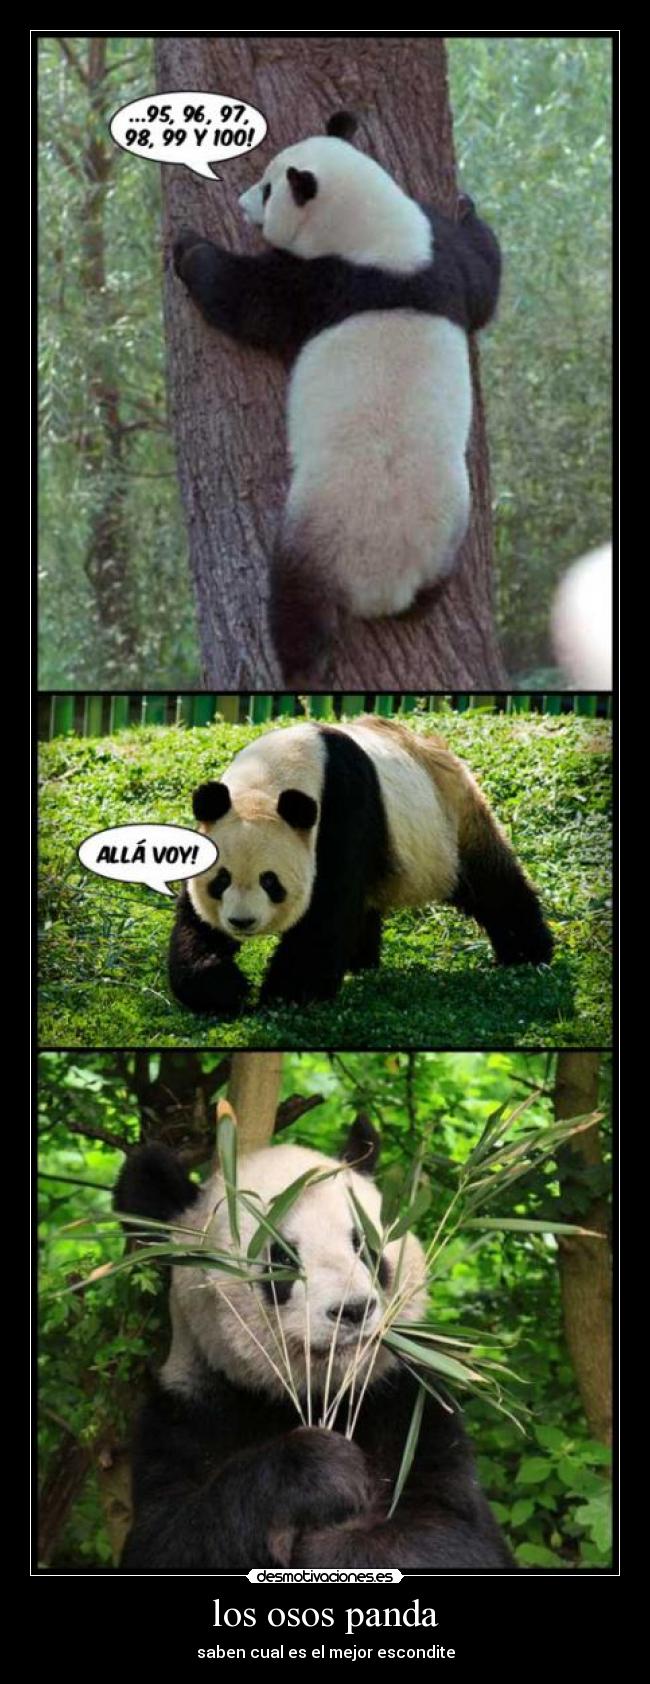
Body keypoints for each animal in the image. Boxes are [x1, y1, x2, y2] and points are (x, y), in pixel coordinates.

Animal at [114, 1116, 514, 1570]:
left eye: (366, 1247)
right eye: (283, 1259)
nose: (354, 1309)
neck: (317, 1396)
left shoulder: (410, 1404)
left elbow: (456, 1536)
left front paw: (333, 1547)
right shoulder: (186, 1414)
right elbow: (169, 1537)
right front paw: (321, 1472)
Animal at [168, 715, 553, 1015]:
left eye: (270, 881)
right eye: (220, 881)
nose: (241, 922)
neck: (268, 780)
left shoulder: (342, 805)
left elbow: (326, 908)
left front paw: (288, 993)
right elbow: (195, 922)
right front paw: (223, 987)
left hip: (451, 824)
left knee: (491, 885)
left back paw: (527, 953)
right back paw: (360, 961)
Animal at [173, 111, 501, 684]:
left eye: (266, 188)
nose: (239, 202)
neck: (380, 235)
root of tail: (385, 586)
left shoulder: (322, 283)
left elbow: (250, 301)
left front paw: (188, 250)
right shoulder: (440, 262)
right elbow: (483, 276)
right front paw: (467, 207)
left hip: (315, 533)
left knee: (296, 607)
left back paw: (300, 670)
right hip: (446, 537)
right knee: (429, 591)